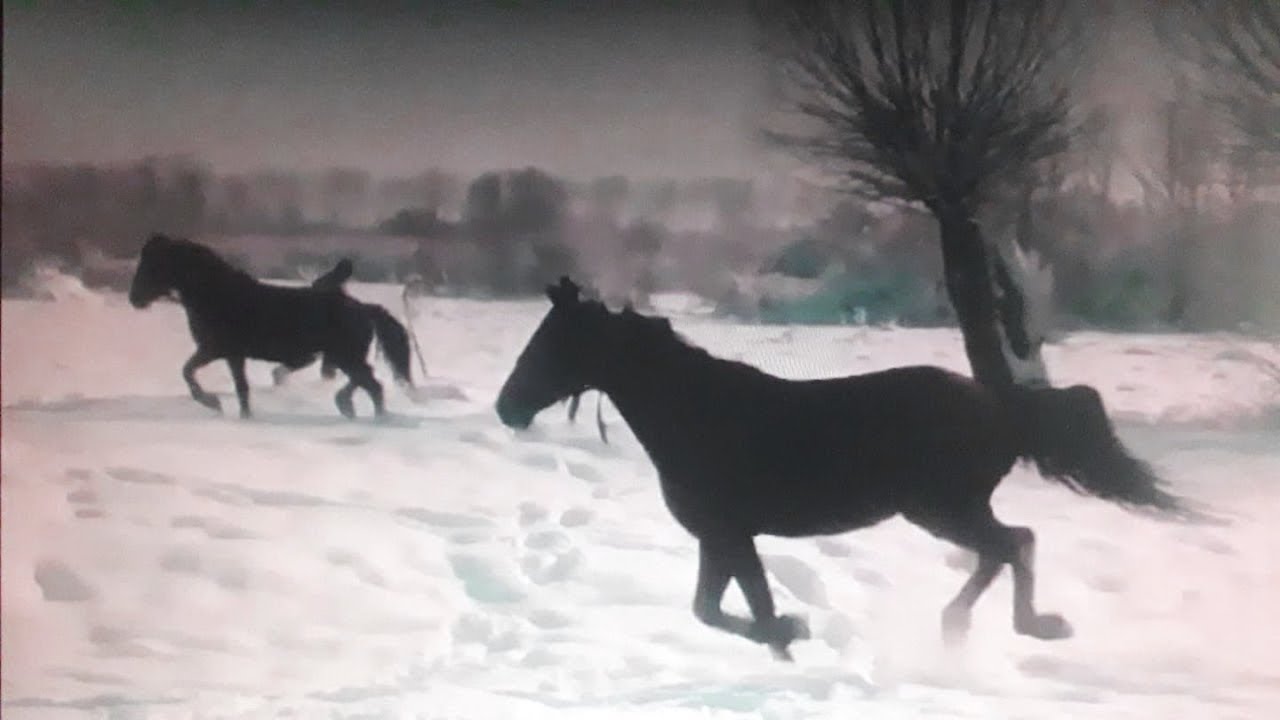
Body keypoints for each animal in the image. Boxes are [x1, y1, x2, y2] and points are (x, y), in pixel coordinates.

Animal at [128, 234, 413, 419]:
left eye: (153, 265)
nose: (134, 299)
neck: (218, 295)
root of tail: (364, 308)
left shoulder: (217, 349)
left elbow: (189, 372)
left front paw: (212, 403)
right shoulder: (230, 355)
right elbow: (238, 387)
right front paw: (241, 414)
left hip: (346, 356)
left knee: (373, 385)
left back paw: (370, 416)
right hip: (342, 357)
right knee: (364, 382)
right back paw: (347, 406)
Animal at [496, 277, 1187, 661]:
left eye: (551, 345)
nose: (507, 407)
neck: (698, 414)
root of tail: (999, 404)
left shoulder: (731, 534)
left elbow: (751, 613)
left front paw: (794, 630)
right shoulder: (719, 539)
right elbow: (713, 612)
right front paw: (791, 633)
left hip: (942, 507)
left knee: (1014, 543)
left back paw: (1024, 626)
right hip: (949, 509)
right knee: (1008, 547)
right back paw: (969, 627)